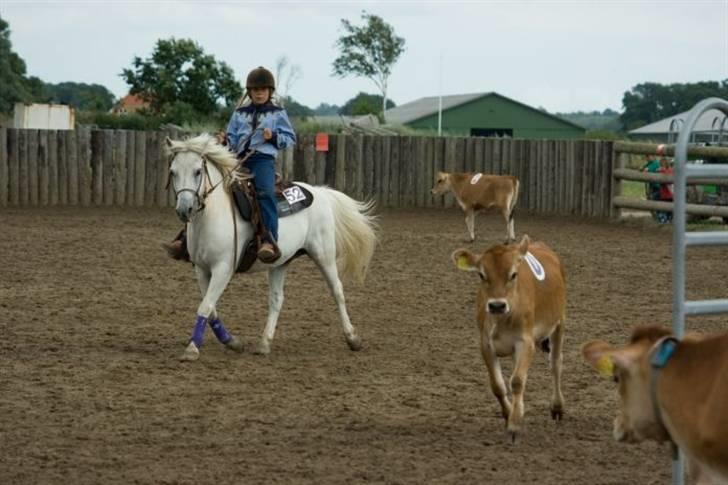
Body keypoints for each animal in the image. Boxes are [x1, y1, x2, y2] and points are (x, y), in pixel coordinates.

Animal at [167, 132, 378, 360]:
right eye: (173, 172)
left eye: (198, 171)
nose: (184, 210)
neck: (212, 216)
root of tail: (319, 192)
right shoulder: (201, 268)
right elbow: (211, 308)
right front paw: (232, 342)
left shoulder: (223, 268)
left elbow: (205, 306)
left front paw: (192, 348)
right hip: (280, 262)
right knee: (277, 299)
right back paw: (265, 343)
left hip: (324, 254)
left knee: (337, 290)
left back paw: (352, 338)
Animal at [452, 234, 564, 438]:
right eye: (481, 275)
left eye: (513, 274)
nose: (497, 305)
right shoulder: (486, 345)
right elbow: (498, 385)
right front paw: (509, 413)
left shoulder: (526, 343)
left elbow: (518, 381)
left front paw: (515, 423)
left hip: (559, 322)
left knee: (556, 365)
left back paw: (557, 407)